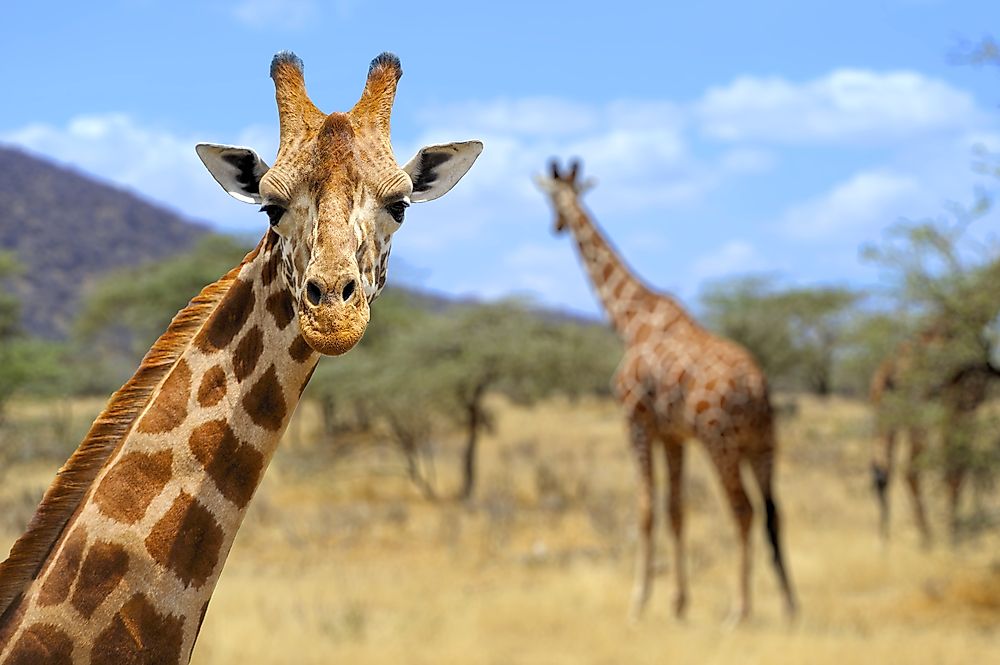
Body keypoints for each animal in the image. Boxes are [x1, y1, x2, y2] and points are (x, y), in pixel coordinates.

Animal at [540, 160, 796, 624]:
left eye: (552, 197)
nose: (556, 225)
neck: (631, 321)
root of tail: (757, 387)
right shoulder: (674, 434)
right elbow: (676, 511)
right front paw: (678, 603)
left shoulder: (636, 422)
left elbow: (645, 509)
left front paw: (638, 602)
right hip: (763, 442)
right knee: (774, 512)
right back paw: (788, 604)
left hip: (720, 441)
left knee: (744, 511)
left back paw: (740, 610)